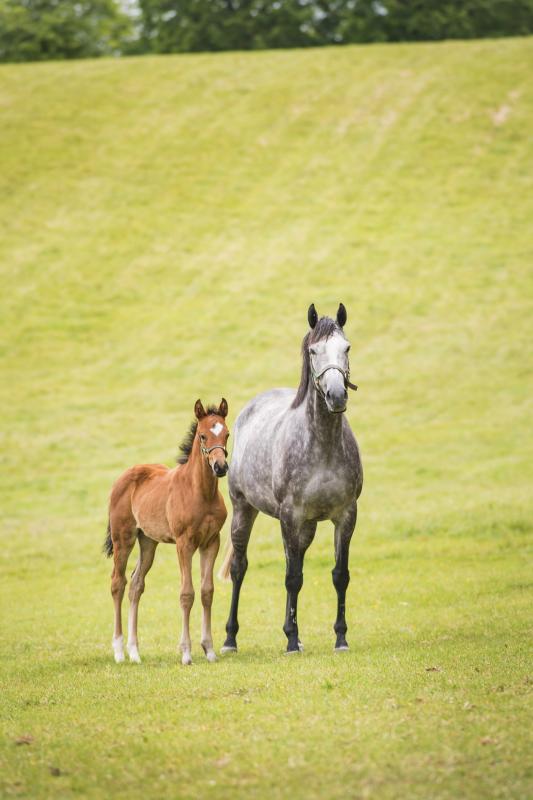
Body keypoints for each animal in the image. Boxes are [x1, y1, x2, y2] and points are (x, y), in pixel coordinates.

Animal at [104, 396, 229, 664]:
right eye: (203, 436)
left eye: (226, 434)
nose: (221, 467)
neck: (201, 492)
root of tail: (124, 476)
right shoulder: (184, 543)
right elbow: (186, 593)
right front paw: (186, 653)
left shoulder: (211, 542)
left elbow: (207, 591)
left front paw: (209, 649)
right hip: (123, 538)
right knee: (118, 582)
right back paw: (119, 651)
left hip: (148, 541)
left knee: (136, 585)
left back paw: (134, 652)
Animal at [219, 304, 362, 652]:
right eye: (313, 350)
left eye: (347, 347)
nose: (337, 395)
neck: (322, 445)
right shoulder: (289, 515)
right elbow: (293, 578)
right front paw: (293, 643)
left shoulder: (346, 515)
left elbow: (339, 575)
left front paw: (340, 637)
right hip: (244, 511)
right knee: (239, 569)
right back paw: (230, 638)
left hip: (305, 527)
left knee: (292, 561)